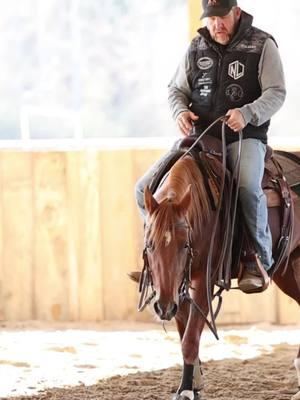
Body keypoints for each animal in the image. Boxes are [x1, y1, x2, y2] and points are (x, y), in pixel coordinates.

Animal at [141, 156, 300, 400]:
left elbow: (190, 338)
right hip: (288, 271)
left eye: (184, 245)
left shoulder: (204, 281)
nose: (163, 307)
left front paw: (186, 389)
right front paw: (194, 383)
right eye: (150, 245)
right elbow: (184, 331)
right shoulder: (179, 287)